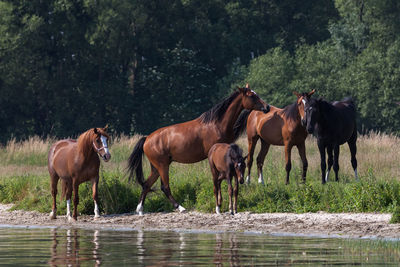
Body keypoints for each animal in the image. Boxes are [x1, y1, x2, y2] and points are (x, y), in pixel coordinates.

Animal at [128, 85, 270, 217]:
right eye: (252, 95)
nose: (267, 107)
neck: (216, 124)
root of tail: (147, 139)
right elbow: (217, 182)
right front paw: (219, 207)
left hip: (156, 168)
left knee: (146, 185)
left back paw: (140, 210)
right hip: (162, 166)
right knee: (165, 187)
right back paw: (180, 208)